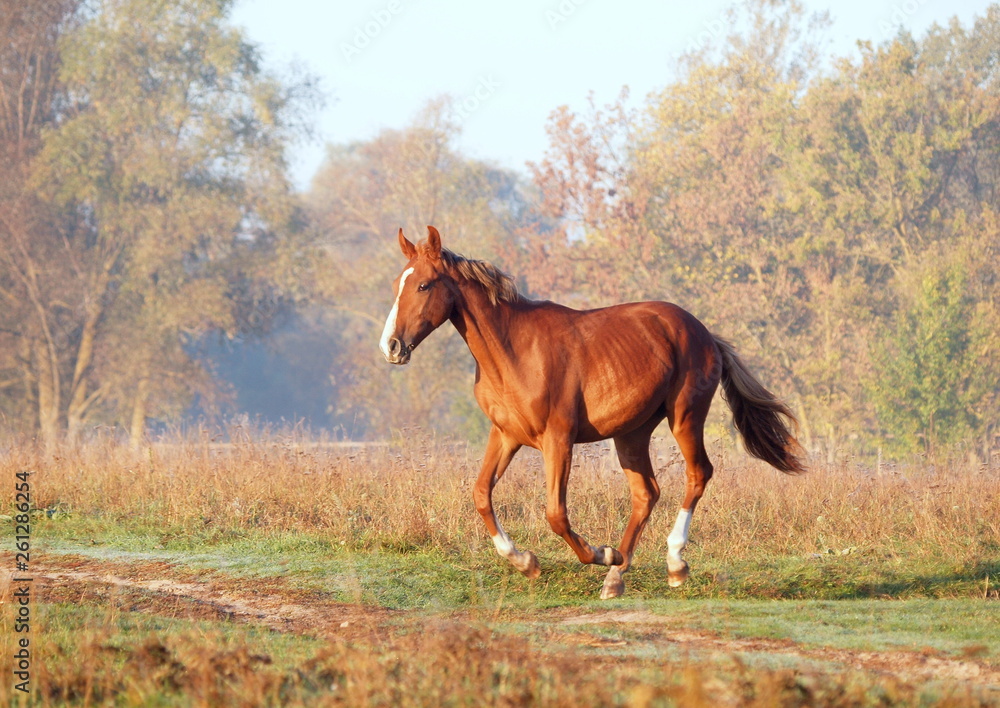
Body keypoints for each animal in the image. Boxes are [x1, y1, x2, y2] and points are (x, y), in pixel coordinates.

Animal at [376, 225, 804, 596]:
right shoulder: (506, 435)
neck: (515, 352)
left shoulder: (558, 439)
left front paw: (598, 553)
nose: (391, 346)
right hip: (631, 433)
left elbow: (555, 513)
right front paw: (526, 562)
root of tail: (706, 334)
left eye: (424, 285)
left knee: (697, 474)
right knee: (646, 493)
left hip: (685, 418)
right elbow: (482, 494)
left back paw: (673, 564)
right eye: (398, 284)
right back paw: (616, 576)